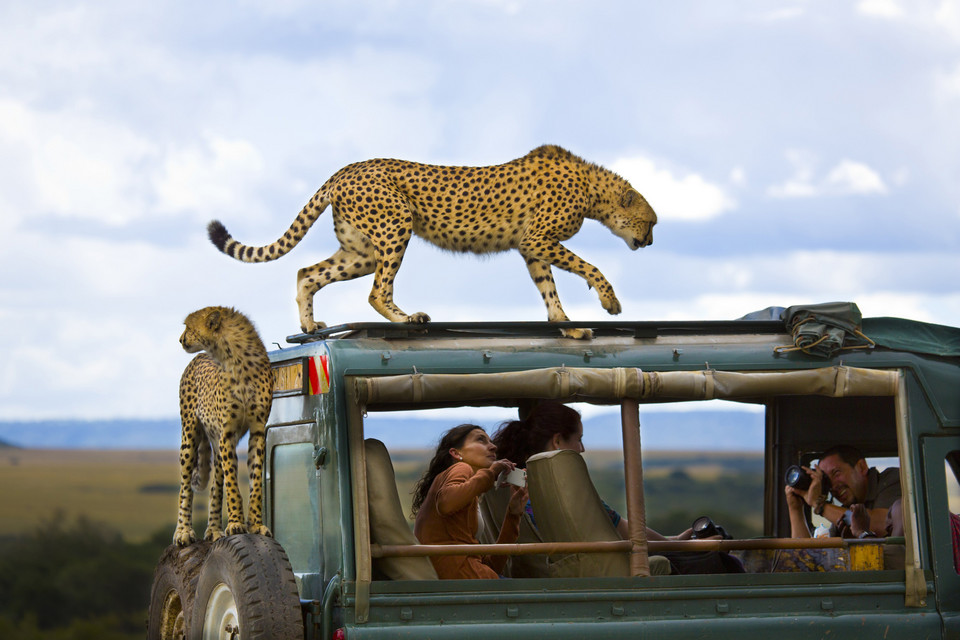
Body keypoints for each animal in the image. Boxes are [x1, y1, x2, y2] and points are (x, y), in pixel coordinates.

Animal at [171, 304, 270, 544]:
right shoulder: (228, 433)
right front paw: (235, 523)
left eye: (189, 327)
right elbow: (233, 484)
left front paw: (255, 524)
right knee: (185, 486)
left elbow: (254, 482)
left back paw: (214, 530)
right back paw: (184, 531)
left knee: (216, 484)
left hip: (216, 444)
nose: (180, 339)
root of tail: (198, 357)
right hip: (189, 435)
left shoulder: (257, 430)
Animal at [206, 142, 656, 338]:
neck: (592, 189)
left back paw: (310, 324)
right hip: (395, 225)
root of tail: (349, 167)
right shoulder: (537, 239)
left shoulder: (532, 248)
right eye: (649, 222)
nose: (650, 242)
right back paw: (406, 318)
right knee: (376, 291)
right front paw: (609, 301)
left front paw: (566, 327)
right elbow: (588, 266)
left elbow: (549, 289)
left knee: (306, 272)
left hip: (360, 251)